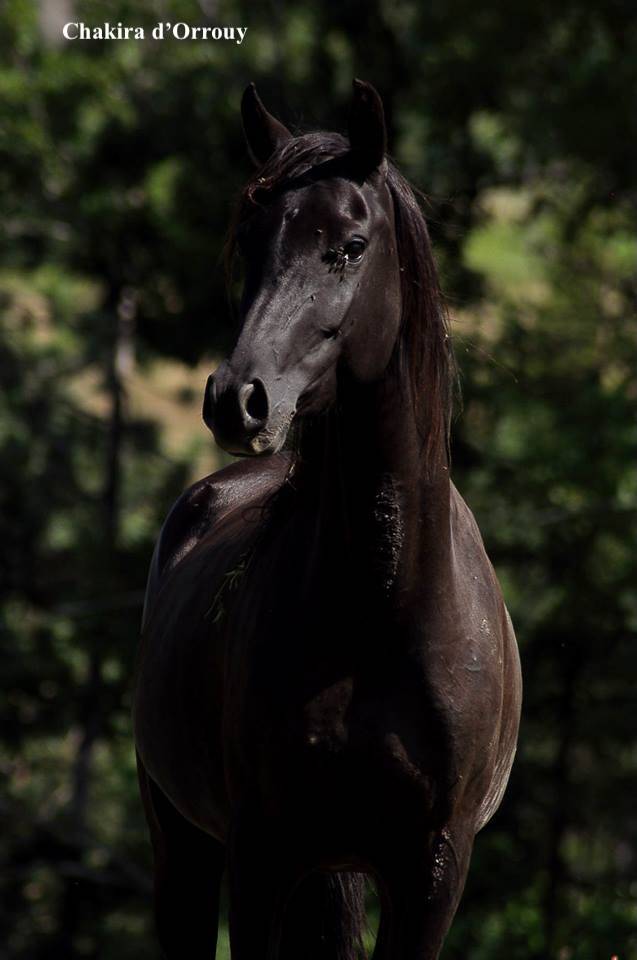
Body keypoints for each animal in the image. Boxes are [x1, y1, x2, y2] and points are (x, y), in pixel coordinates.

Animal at [133, 79, 522, 960]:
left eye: (348, 244)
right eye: (248, 241)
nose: (237, 400)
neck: (384, 606)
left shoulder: (431, 871)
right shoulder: (261, 857)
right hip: (183, 848)